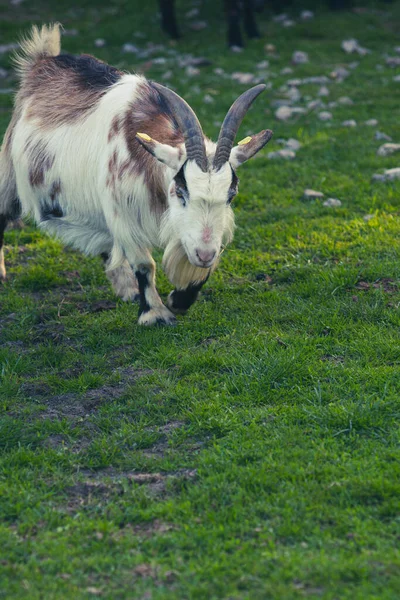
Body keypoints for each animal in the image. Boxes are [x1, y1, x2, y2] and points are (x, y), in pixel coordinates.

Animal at [0, 24, 272, 324]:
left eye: (231, 195)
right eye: (180, 192)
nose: (204, 253)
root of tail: (43, 60)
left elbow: (200, 266)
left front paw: (179, 300)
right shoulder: (123, 212)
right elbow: (144, 264)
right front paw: (155, 313)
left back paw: (126, 288)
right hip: (8, 174)